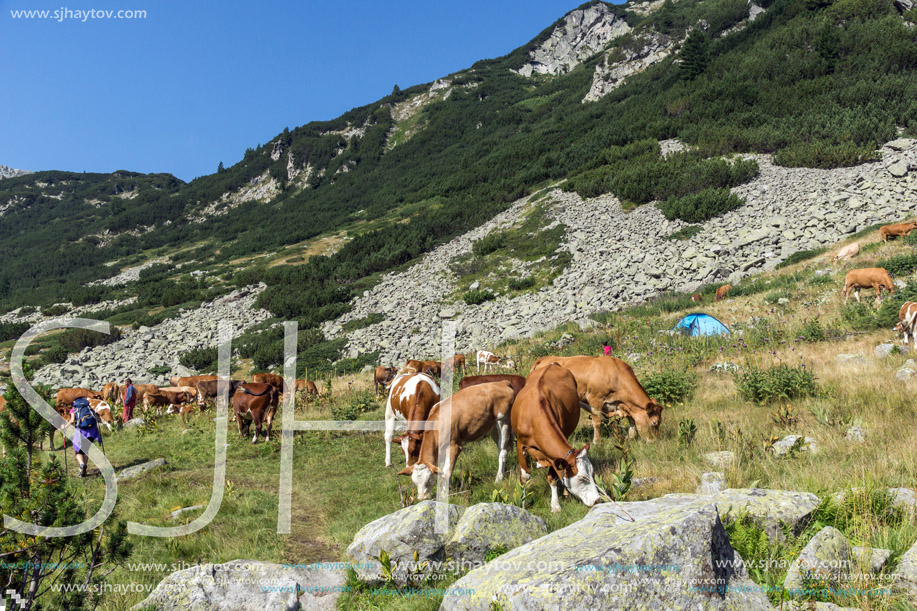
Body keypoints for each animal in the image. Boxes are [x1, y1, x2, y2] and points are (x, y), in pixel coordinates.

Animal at [512, 364, 604, 512]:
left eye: (592, 472)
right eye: (582, 477)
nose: (597, 500)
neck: (534, 417)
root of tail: (553, 364)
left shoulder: (554, 456)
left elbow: (553, 477)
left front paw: (555, 505)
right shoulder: (520, 444)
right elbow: (525, 477)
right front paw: (523, 505)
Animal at [528, 354, 660, 444]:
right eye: (653, 423)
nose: (654, 441)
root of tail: (546, 358)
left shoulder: (622, 404)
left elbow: (631, 418)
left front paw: (630, 437)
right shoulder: (595, 400)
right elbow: (597, 422)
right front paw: (596, 441)